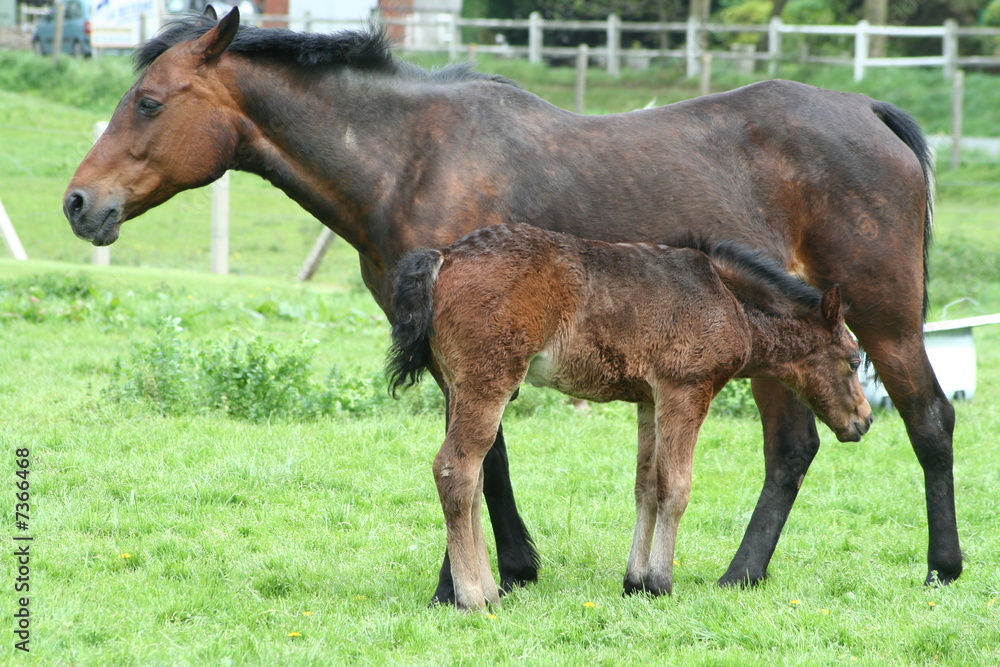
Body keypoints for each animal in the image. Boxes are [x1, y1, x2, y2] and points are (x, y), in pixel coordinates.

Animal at [387, 223, 873, 610]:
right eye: (853, 361)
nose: (864, 421)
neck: (728, 301)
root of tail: (444, 257)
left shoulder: (649, 400)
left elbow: (647, 487)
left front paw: (635, 582)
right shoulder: (685, 389)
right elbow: (675, 487)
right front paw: (660, 582)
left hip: (456, 386)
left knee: (475, 479)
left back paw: (486, 590)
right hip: (489, 380)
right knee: (456, 470)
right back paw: (470, 597)